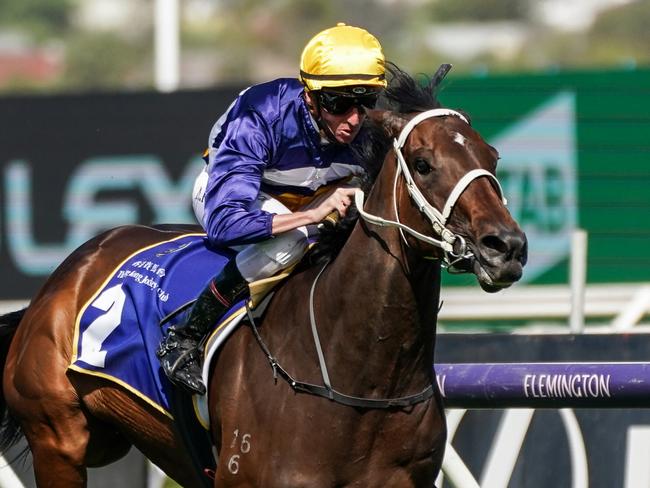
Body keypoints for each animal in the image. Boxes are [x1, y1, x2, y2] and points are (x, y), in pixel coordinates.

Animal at [0, 66, 520, 486]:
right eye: (424, 163)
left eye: (492, 158)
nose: (506, 247)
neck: (363, 379)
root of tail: (68, 273)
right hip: (59, 438)